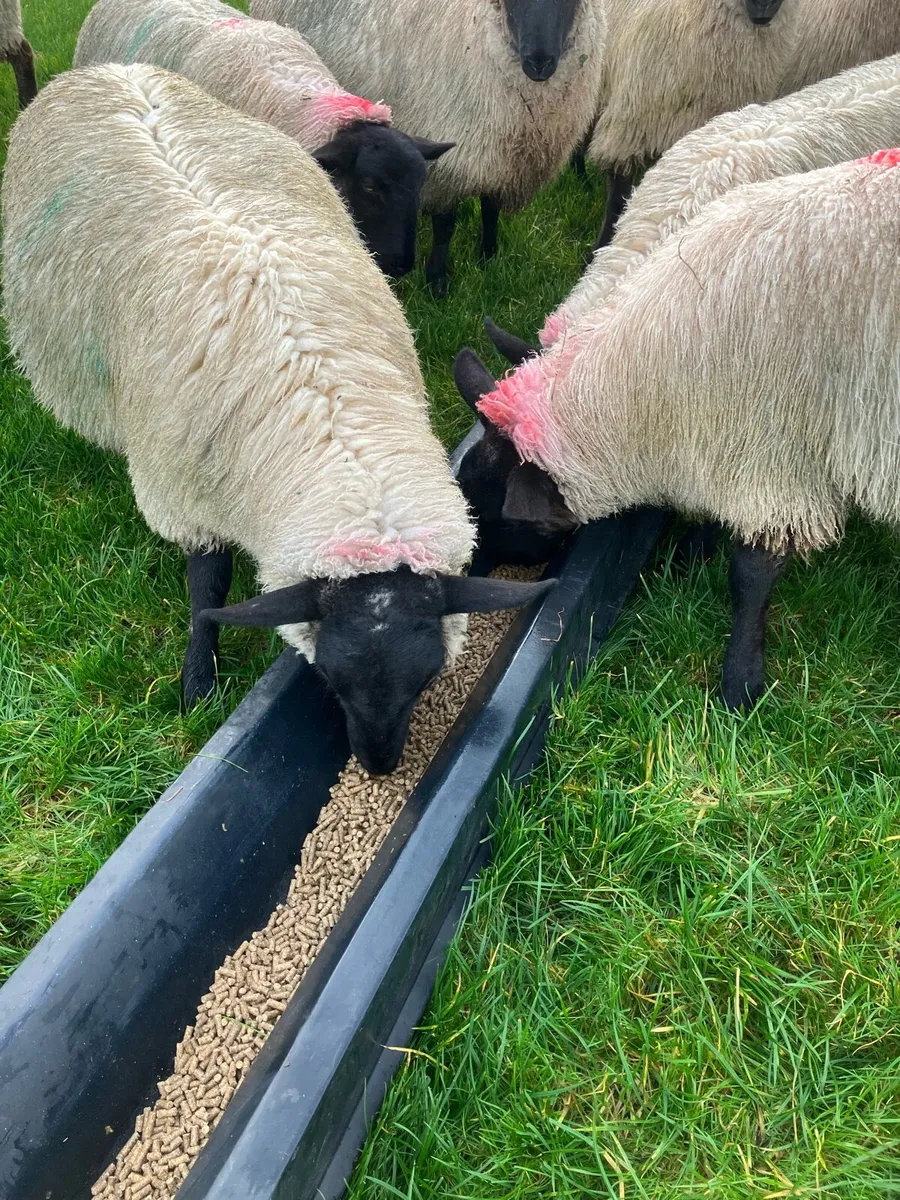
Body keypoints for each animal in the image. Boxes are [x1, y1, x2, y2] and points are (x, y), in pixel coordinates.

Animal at [2, 63, 553, 774]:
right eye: (329, 678)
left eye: (429, 676)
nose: (378, 766)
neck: (334, 426)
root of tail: (103, 71)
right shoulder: (183, 485)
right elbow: (208, 586)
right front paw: (198, 683)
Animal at [251, 0, 607, 295]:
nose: (539, 63)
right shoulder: (446, 158)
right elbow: (446, 225)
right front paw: (437, 281)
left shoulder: (499, 155)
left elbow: (490, 209)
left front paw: (488, 258)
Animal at [453, 151, 900, 709]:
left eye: (508, 524)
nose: (471, 575)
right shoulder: (724, 437)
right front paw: (694, 554)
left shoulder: (774, 450)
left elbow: (752, 572)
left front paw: (741, 684)